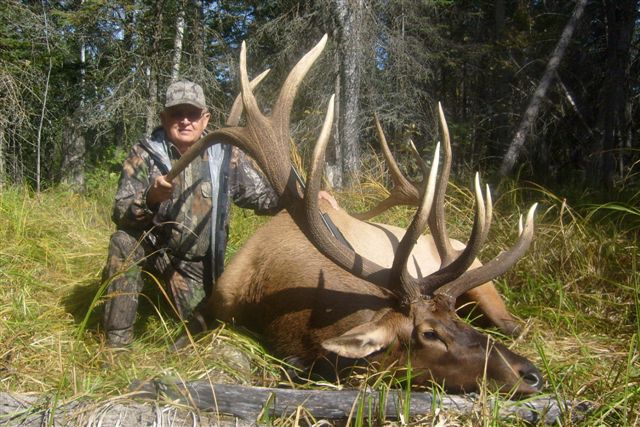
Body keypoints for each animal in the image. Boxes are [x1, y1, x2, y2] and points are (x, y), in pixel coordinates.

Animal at [170, 35, 543, 395]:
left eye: (457, 321)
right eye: (429, 333)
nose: (532, 373)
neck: (266, 295)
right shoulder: (217, 301)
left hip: (486, 288)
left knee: (515, 325)